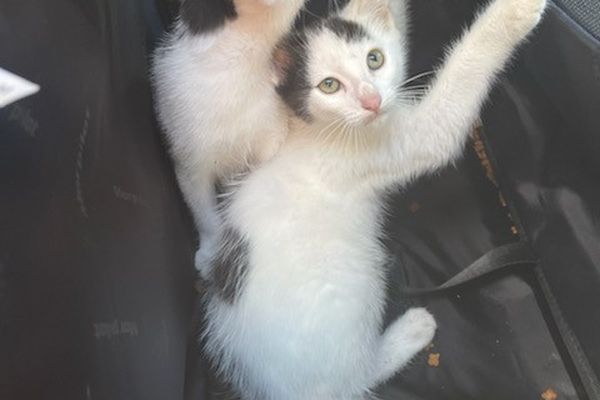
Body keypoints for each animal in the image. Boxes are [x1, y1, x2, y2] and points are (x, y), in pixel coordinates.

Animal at [203, 0, 548, 398]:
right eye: (329, 85)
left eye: (375, 59)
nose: (371, 101)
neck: (316, 131)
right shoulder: (387, 147)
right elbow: (450, 104)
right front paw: (514, 14)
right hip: (354, 290)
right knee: (358, 376)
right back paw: (412, 330)